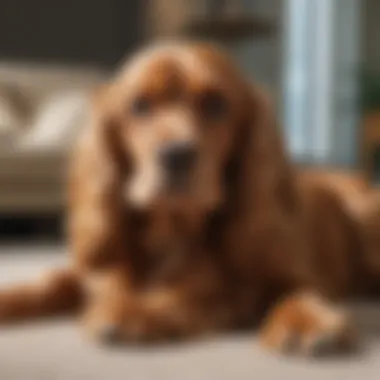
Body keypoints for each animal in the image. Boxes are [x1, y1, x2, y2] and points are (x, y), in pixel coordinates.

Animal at [0, 43, 380, 354]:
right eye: (139, 105)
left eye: (216, 104)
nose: (177, 156)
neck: (172, 231)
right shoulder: (93, 273)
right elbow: (50, 283)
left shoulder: (276, 274)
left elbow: (290, 291)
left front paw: (308, 321)